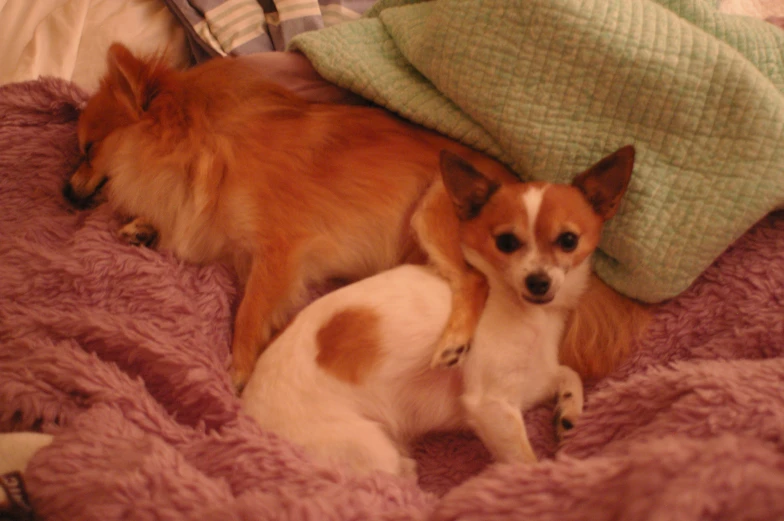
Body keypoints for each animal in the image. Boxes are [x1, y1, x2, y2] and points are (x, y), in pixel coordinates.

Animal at [64, 43, 648, 386]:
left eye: (88, 149)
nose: (66, 191)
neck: (206, 147)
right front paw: (143, 227)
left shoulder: (281, 251)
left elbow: (248, 316)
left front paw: (238, 372)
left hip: (431, 209)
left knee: (475, 283)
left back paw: (455, 342)